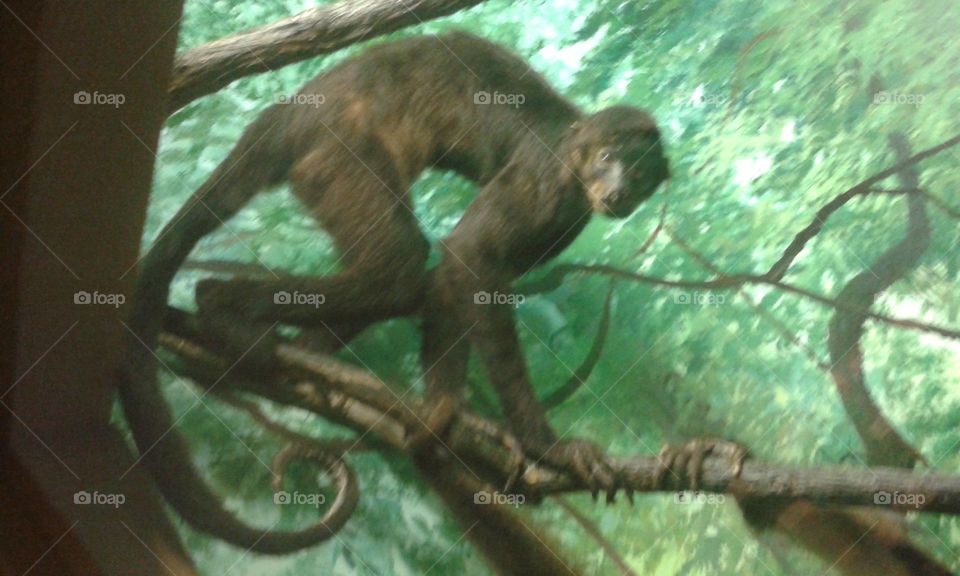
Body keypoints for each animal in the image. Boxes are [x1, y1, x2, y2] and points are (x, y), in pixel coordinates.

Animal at [119, 30, 669, 555]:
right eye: (606, 159)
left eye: (639, 173)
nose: (619, 189)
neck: (573, 145)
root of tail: (290, 112)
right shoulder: (546, 181)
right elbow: (468, 257)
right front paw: (544, 448)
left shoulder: (566, 217)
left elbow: (453, 280)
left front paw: (444, 418)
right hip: (338, 154)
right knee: (399, 266)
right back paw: (219, 303)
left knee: (405, 281)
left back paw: (297, 356)